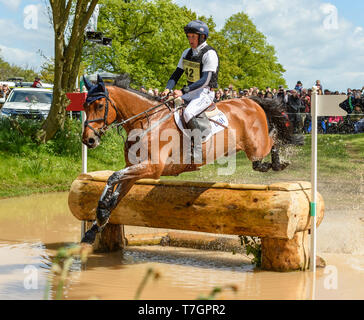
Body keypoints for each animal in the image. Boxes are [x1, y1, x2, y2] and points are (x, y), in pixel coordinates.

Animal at [80, 75, 296, 245]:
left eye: (100, 105)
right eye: (84, 106)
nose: (88, 140)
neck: (146, 123)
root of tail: (251, 101)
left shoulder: (152, 168)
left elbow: (112, 177)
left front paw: (101, 212)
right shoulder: (134, 169)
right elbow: (116, 192)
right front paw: (97, 223)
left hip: (256, 146)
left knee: (273, 139)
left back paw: (279, 162)